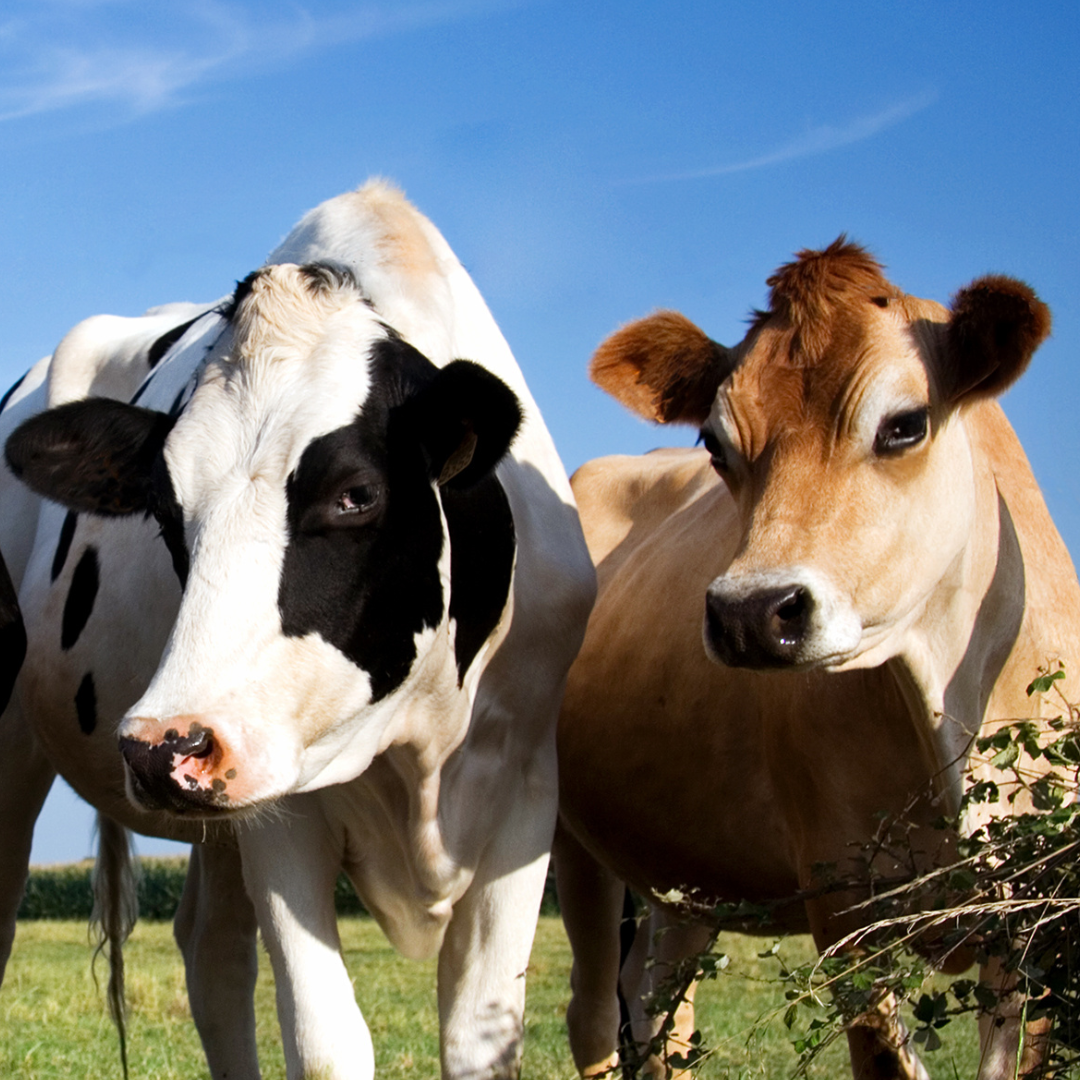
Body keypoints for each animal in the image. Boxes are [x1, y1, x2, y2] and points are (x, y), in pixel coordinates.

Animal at [0, 179, 596, 1080]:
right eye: (165, 509)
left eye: (356, 495)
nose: (161, 747)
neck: (418, 738)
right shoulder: (280, 810)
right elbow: (327, 1045)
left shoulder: (525, 789)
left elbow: (482, 1039)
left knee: (211, 954)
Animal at [553, 240, 1080, 1080]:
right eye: (715, 443)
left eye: (904, 424)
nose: (749, 612)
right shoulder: (844, 904)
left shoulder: (1040, 914)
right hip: (569, 842)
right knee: (595, 1015)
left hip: (684, 873)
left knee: (660, 1008)